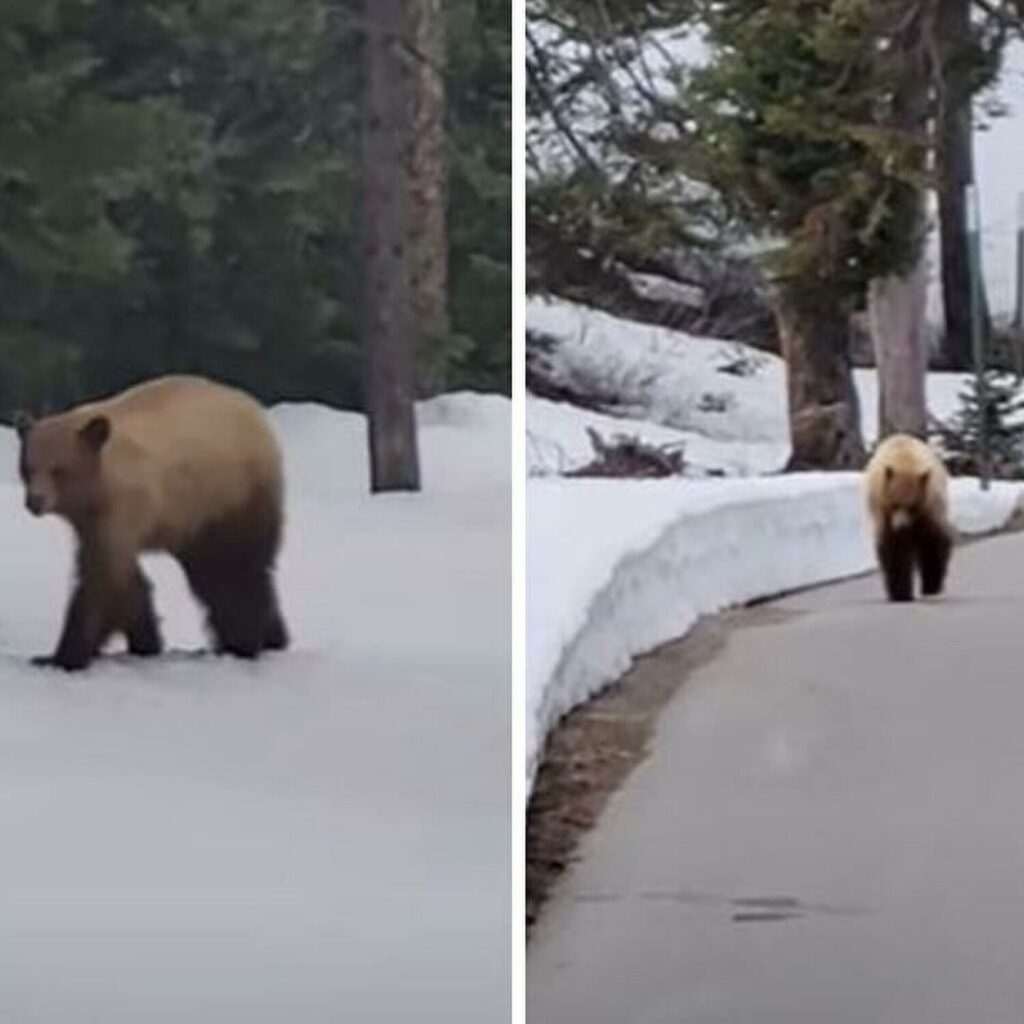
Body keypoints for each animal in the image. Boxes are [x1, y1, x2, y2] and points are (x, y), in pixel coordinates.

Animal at [16, 376, 288, 671]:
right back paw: (274, 638)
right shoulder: (92, 520)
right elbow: (125, 579)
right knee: (212, 573)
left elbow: (101, 578)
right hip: (195, 519)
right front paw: (146, 639)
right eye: (27, 468)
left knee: (235, 570)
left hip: (228, 494)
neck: (99, 484)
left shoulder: (123, 506)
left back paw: (243, 644)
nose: (35, 501)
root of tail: (257, 413)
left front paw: (63, 656)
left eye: (59, 469)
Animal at [864, 436, 950, 602]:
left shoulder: (929, 506)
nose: (901, 526)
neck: (905, 463)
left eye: (912, 505)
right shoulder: (884, 512)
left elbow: (932, 541)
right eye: (894, 504)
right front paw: (901, 593)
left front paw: (931, 586)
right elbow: (894, 550)